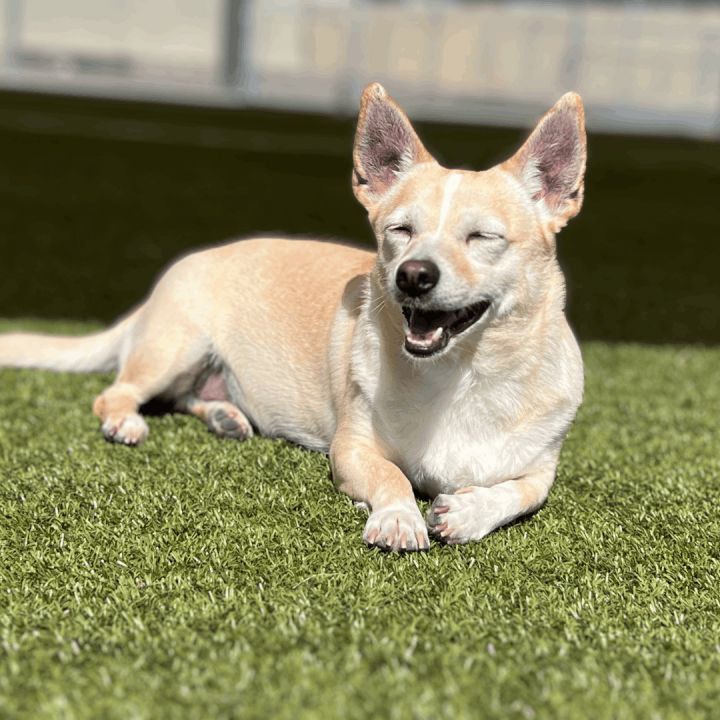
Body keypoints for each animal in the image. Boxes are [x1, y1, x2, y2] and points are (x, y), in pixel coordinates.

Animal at [0, 83, 584, 552]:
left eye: (483, 237)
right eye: (399, 231)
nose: (413, 274)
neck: (461, 376)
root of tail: (157, 290)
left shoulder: (540, 473)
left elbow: (518, 494)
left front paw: (466, 511)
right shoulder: (352, 450)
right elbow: (393, 476)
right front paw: (399, 517)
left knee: (185, 397)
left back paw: (225, 416)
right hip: (175, 347)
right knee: (117, 393)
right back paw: (126, 420)